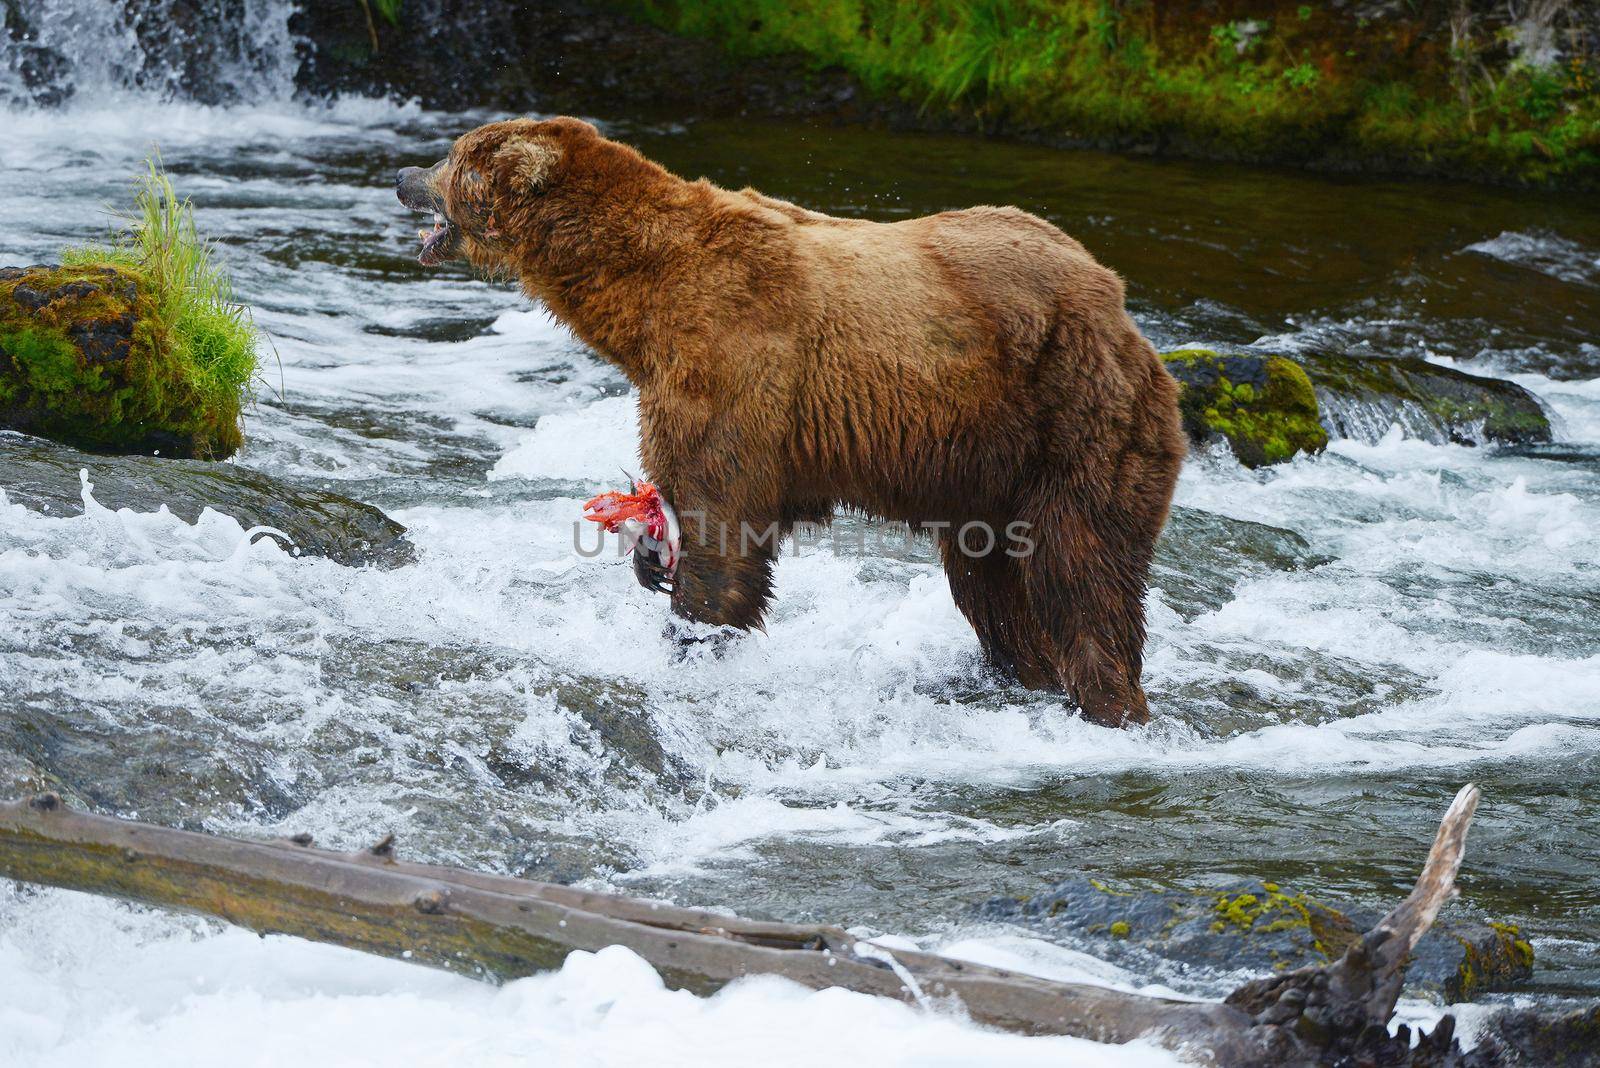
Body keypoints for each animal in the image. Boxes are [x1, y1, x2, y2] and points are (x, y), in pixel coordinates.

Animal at [393, 120, 1184, 729]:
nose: (401, 174)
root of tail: (1118, 303)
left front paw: (692, 641)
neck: (638, 298)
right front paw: (650, 553)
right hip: (983, 467)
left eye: (453, 157)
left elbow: (723, 520)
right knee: (989, 580)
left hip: (1071, 417)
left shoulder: (735, 366)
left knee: (1081, 568)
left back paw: (1110, 704)